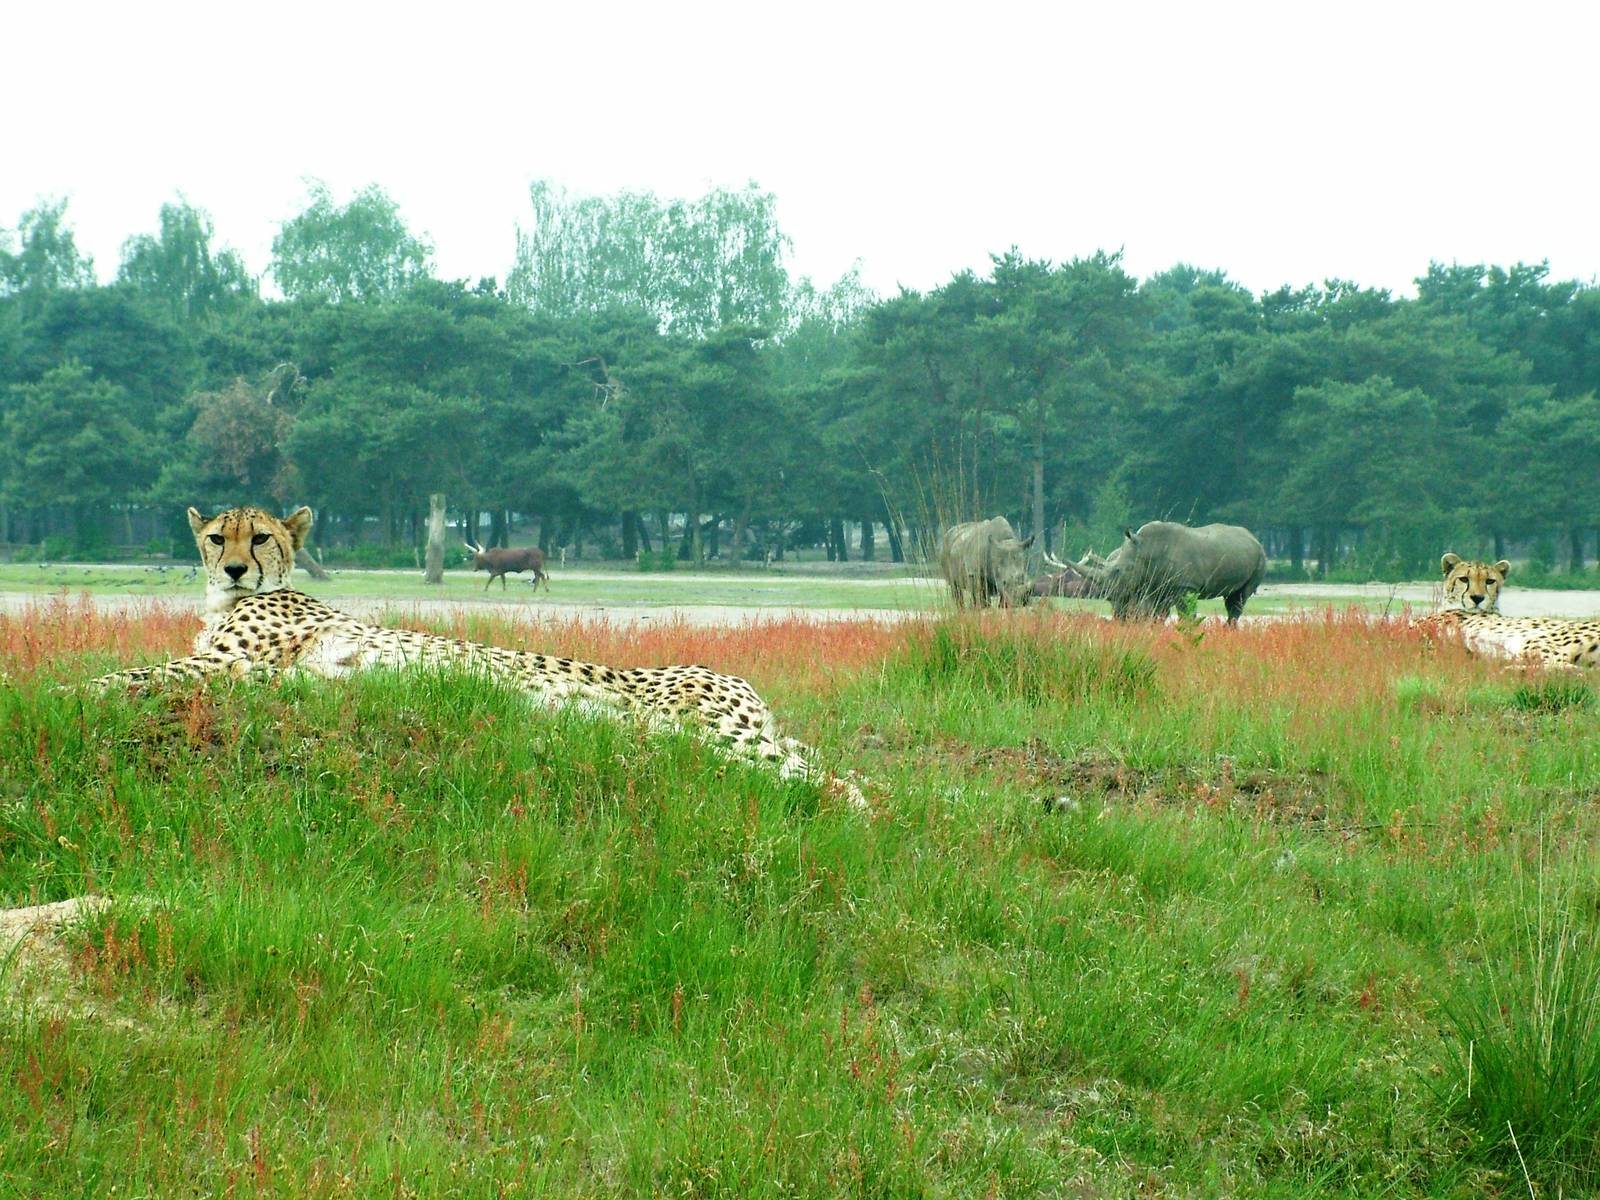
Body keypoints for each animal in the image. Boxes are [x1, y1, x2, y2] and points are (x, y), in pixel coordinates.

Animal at [92, 505, 866, 807]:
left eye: (260, 539)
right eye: (216, 537)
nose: (233, 570)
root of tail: (731, 676)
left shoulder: (228, 665)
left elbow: (127, 674)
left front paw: (82, 688)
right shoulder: (244, 673)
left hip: (705, 730)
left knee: (845, 785)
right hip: (679, 736)